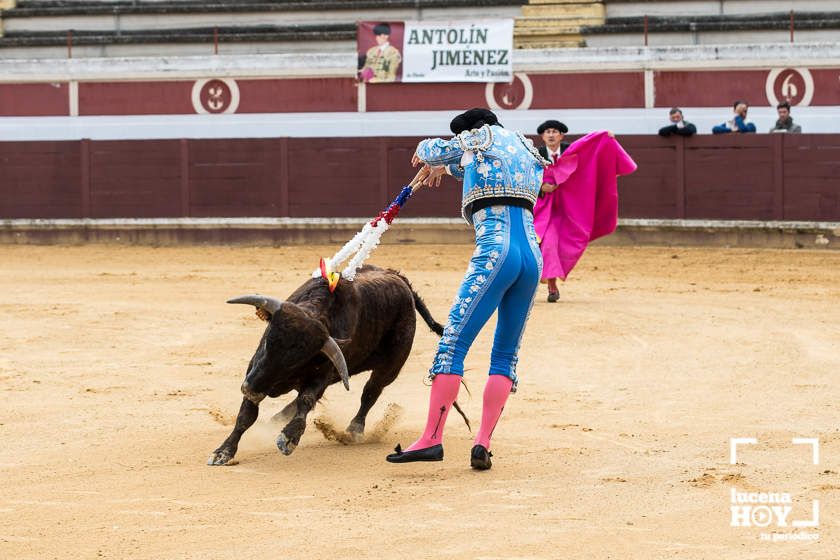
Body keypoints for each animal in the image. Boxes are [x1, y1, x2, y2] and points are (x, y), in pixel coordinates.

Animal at [208, 264, 446, 466]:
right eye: (268, 341)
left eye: (297, 359)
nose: (250, 389)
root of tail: (398, 277)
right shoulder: (256, 370)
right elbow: (246, 417)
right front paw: (223, 452)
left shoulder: (321, 375)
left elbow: (306, 399)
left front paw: (289, 438)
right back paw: (276, 418)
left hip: (390, 367)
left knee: (370, 392)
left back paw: (354, 430)